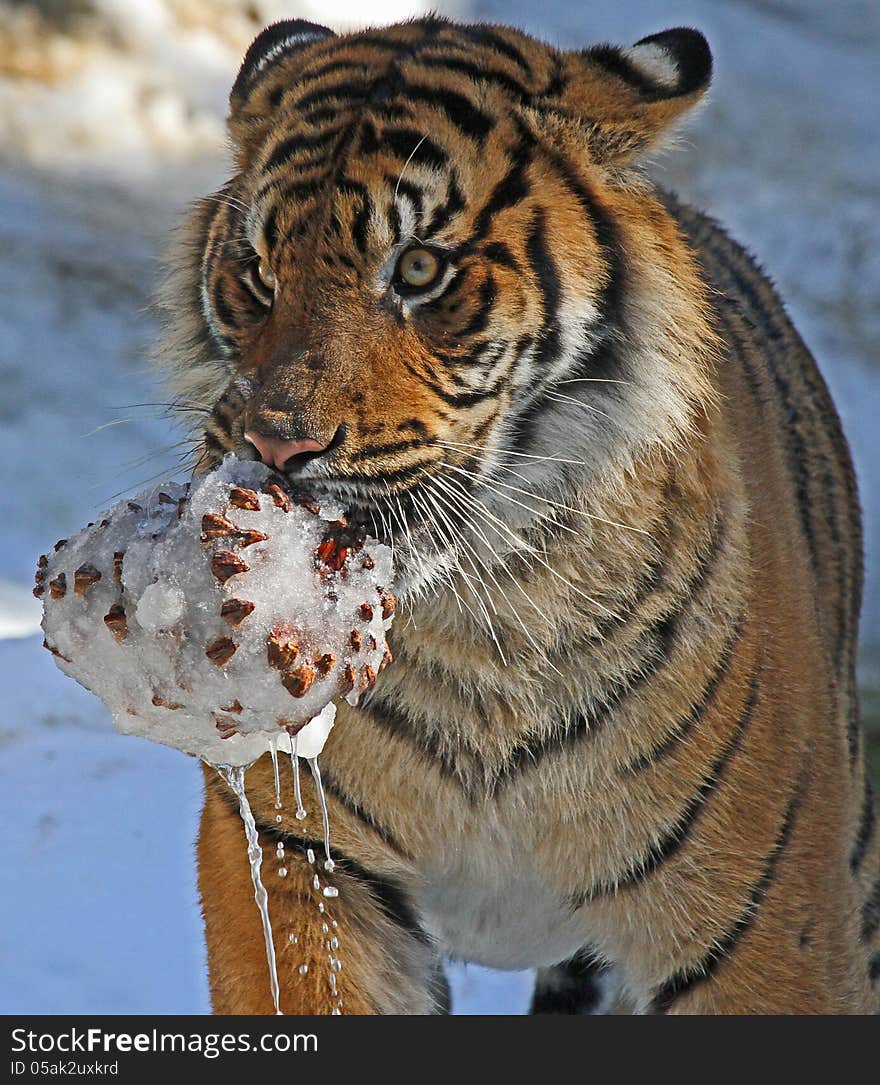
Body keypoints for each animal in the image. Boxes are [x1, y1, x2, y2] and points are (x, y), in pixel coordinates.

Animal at [155, 14, 876, 1015]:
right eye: (258, 271)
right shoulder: (295, 853)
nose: (274, 445)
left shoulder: (767, 926)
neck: (481, 624)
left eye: (420, 268)